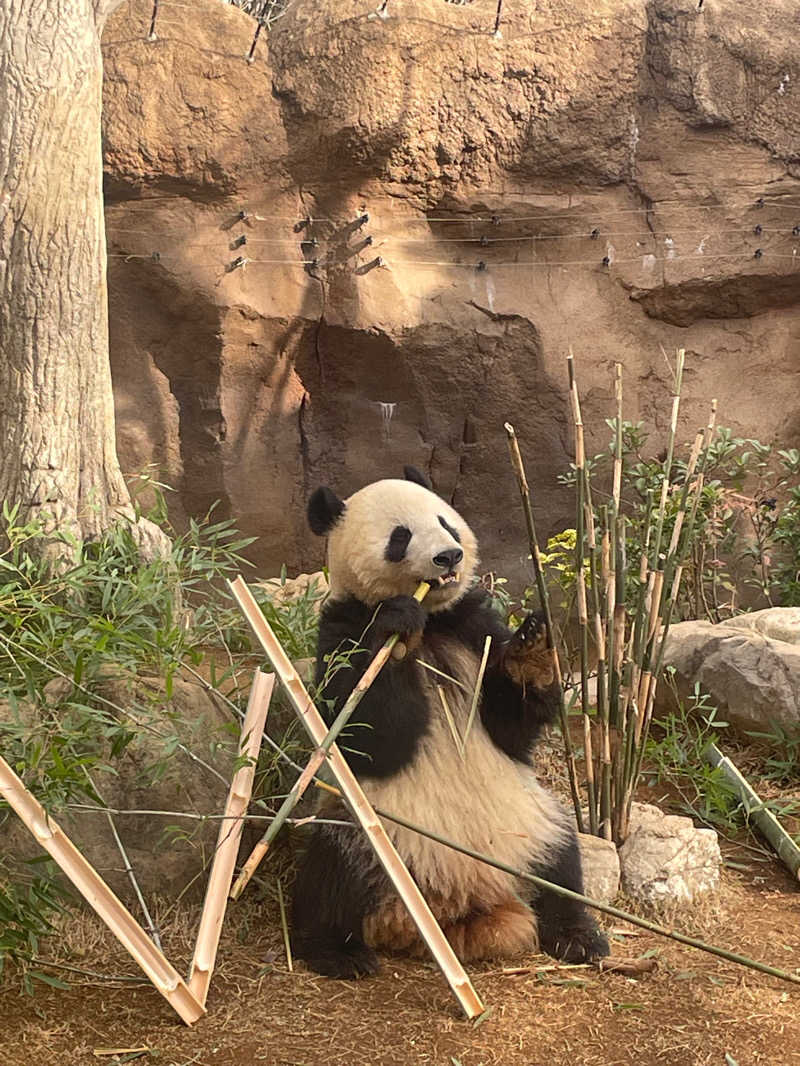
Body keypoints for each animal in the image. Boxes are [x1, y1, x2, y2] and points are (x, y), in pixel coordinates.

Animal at [292, 462, 610, 976]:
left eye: (446, 523)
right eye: (400, 536)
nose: (449, 556)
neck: (434, 621)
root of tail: (456, 907)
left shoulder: (473, 626)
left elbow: (511, 728)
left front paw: (534, 647)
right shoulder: (342, 627)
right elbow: (367, 737)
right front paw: (398, 631)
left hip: (527, 824)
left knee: (561, 862)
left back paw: (578, 937)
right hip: (374, 835)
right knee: (329, 873)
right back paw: (338, 953)